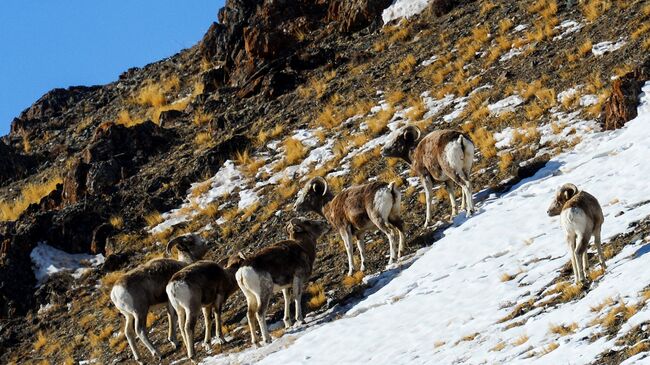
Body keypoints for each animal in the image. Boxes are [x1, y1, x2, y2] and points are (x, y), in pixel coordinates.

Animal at [107, 233, 206, 362]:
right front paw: (175, 342)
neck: (183, 264)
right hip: (140, 312)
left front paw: (174, 341)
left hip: (129, 316)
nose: (205, 243)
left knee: (128, 333)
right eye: (190, 241)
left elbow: (171, 317)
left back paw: (139, 359)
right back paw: (158, 354)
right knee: (140, 331)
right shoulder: (170, 303)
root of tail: (115, 292)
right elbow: (172, 317)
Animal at [234, 218, 330, 346]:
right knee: (259, 313)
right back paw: (267, 339)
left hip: (250, 297)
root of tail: (241, 272)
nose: (325, 223)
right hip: (264, 294)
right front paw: (301, 320)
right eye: (308, 222)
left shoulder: (286, 286)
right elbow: (297, 296)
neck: (303, 247)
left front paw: (288, 323)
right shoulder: (298, 278)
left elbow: (287, 298)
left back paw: (256, 342)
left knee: (249, 315)